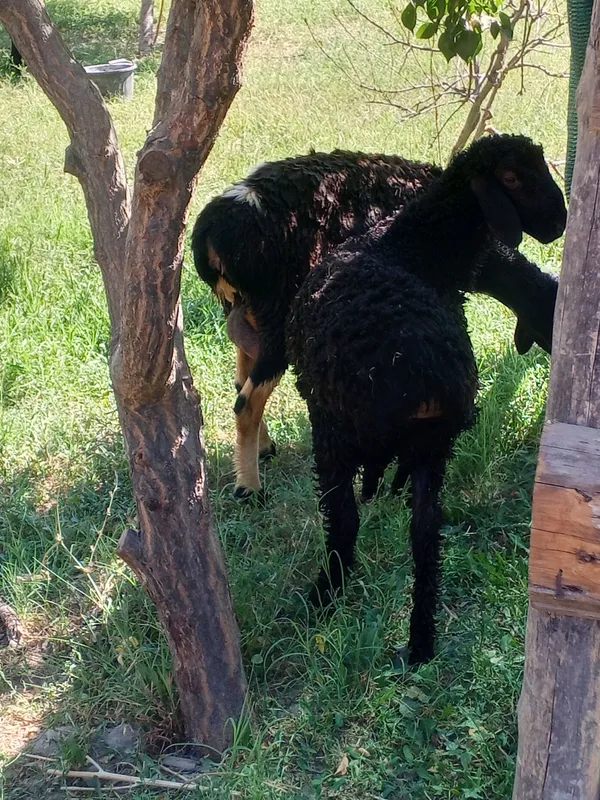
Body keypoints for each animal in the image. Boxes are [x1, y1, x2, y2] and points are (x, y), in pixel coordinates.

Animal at [191, 148, 560, 500]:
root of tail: (212, 232)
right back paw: (249, 488)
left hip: (245, 310)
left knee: (241, 379)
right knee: (247, 401)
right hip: (278, 316)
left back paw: (262, 450)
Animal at [285, 134, 566, 665]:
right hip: (433, 448)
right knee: (426, 537)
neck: (410, 247)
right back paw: (420, 640)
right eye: (513, 177)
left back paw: (325, 596)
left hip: (334, 436)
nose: (560, 223)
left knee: (344, 522)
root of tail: (416, 369)